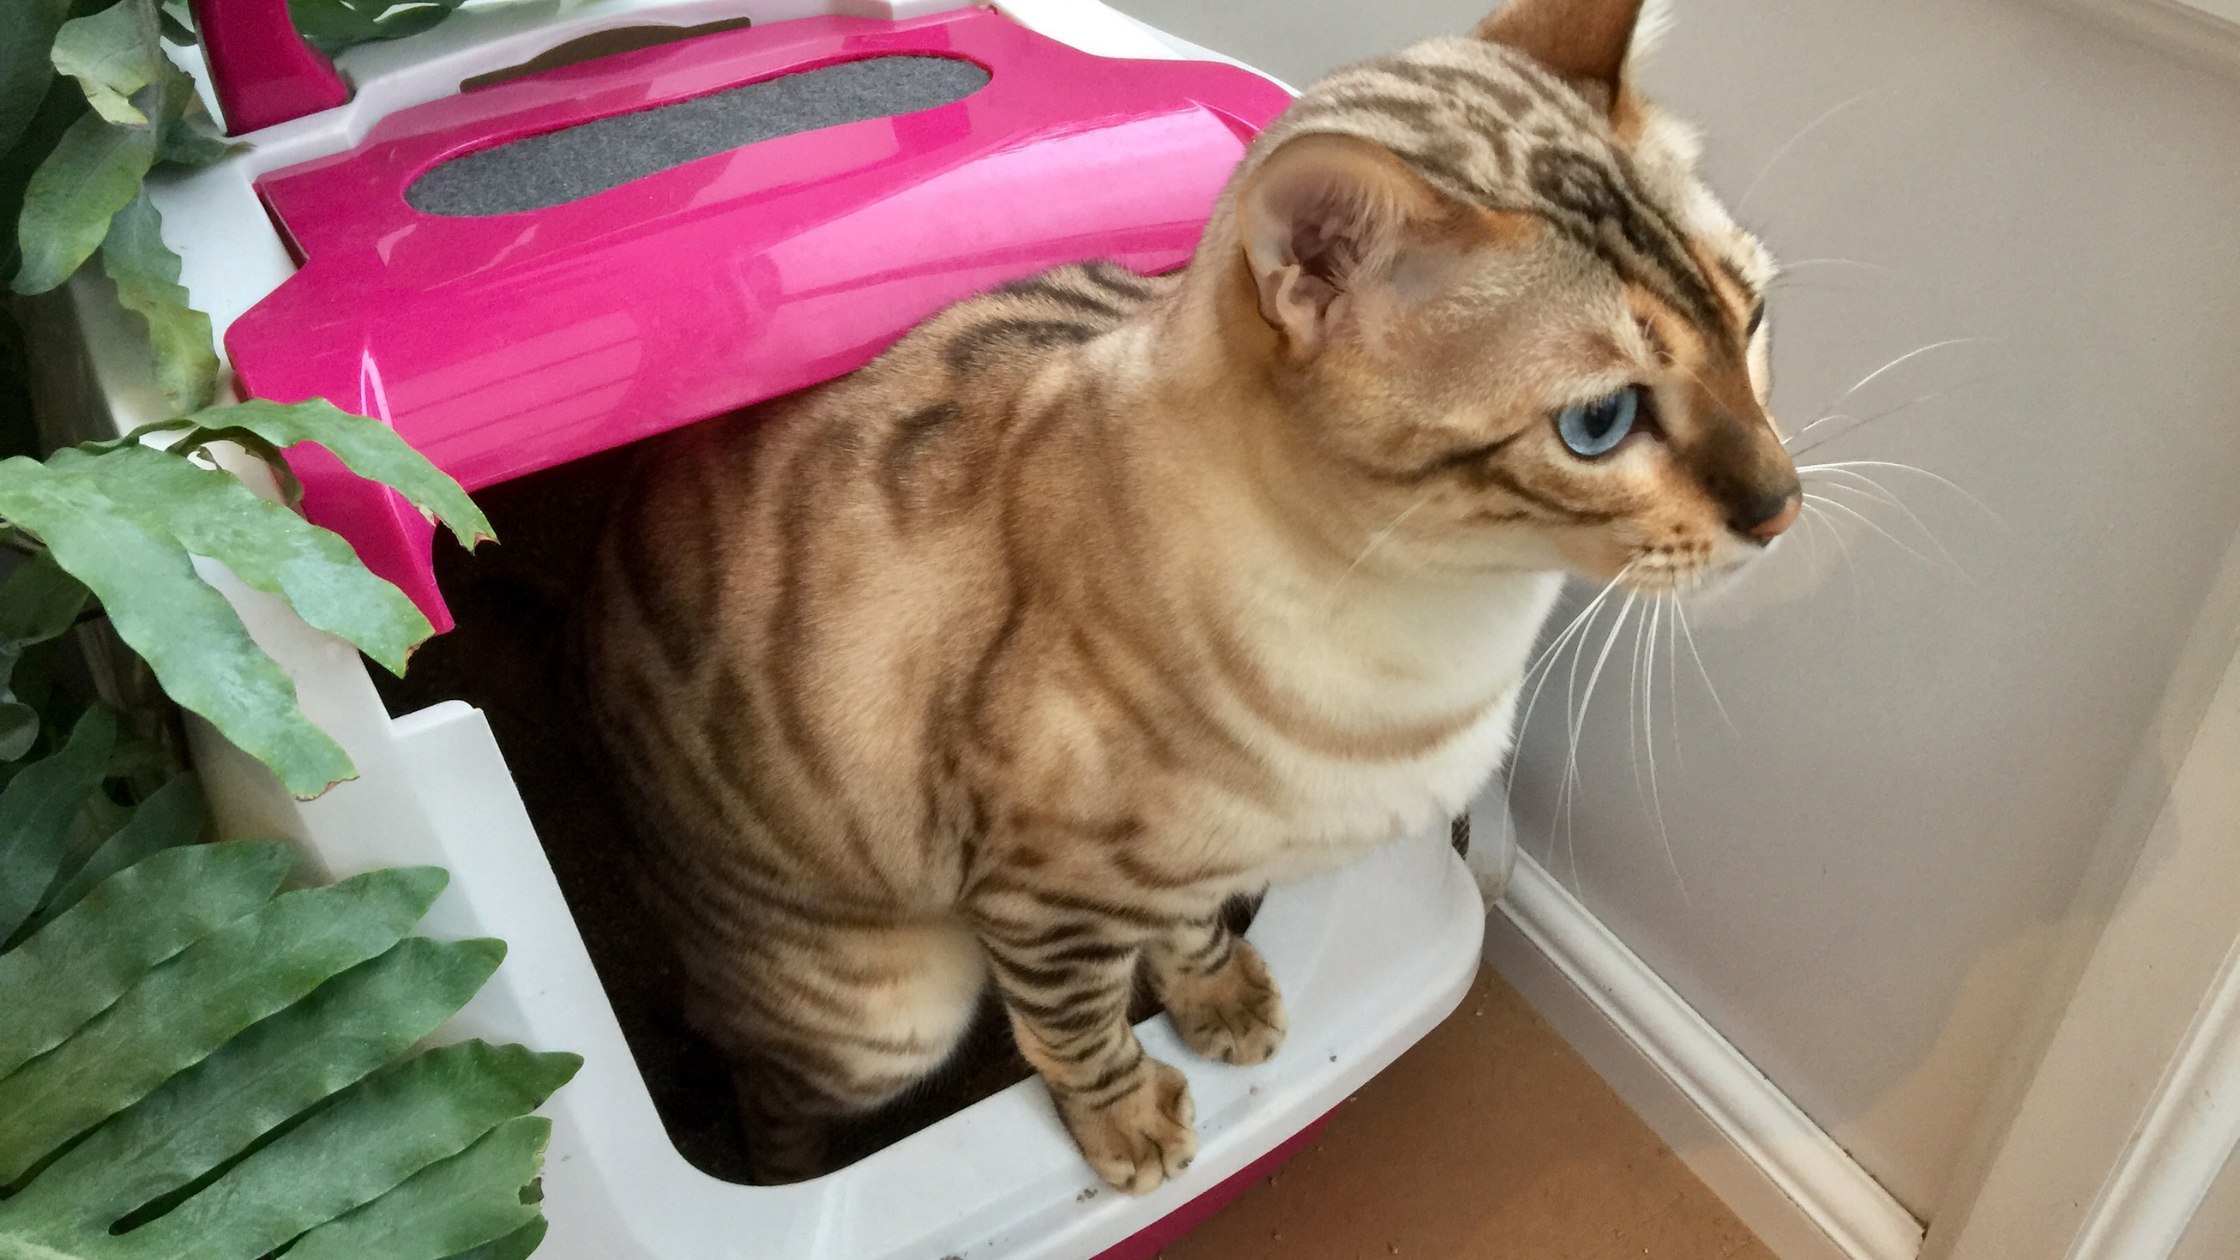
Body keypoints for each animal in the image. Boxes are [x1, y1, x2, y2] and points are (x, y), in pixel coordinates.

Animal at [582, 0, 1800, 1183]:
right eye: (1599, 422)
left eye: (1750, 323)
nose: (1782, 506)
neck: (1444, 638)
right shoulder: (1040, 898)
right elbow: (1074, 1031)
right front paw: (1131, 1128)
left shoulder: (1177, 876)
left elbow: (1192, 933)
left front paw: (1221, 1001)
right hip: (889, 1013)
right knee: (770, 1100)